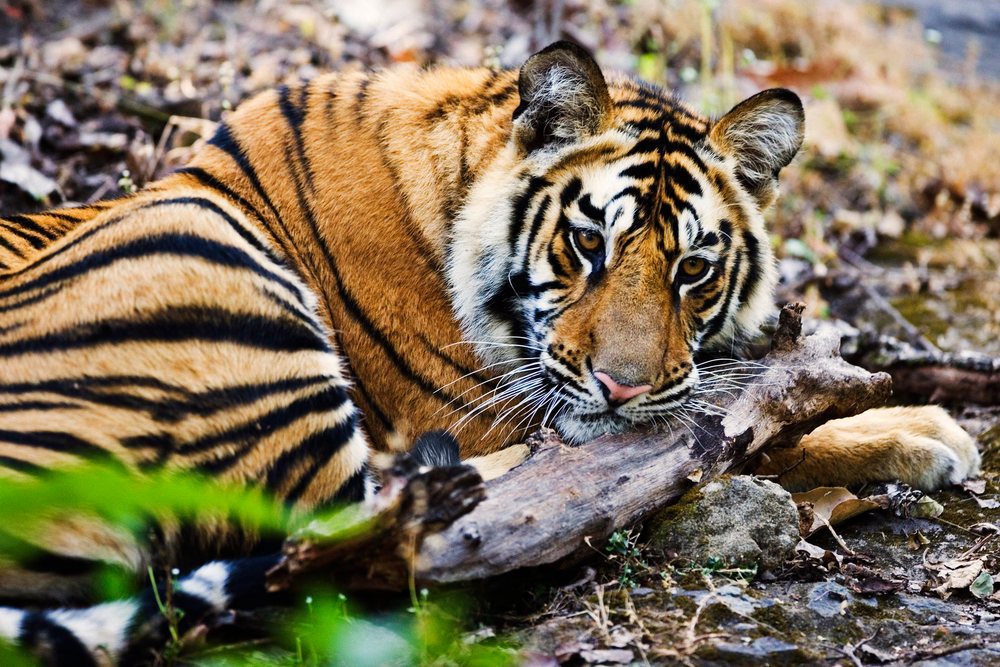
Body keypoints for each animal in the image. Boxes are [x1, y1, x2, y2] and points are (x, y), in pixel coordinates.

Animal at [0, 41, 980, 664]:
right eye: (587, 243)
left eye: (693, 268)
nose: (622, 388)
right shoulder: (491, 410)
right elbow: (743, 432)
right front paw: (930, 428)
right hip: (203, 252)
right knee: (374, 535)